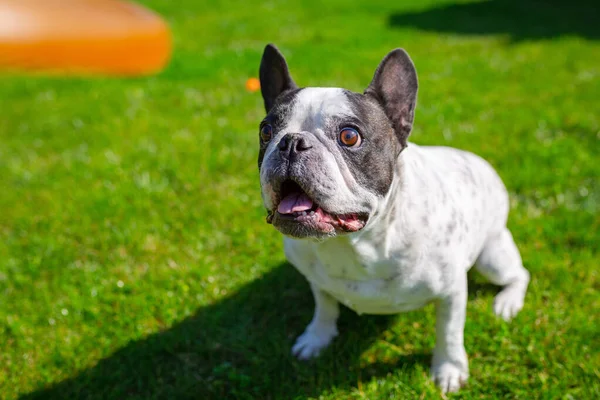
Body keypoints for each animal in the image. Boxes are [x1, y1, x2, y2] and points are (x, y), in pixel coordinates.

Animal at [255, 44, 528, 394]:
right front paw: (317, 337)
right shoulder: (317, 279)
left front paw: (449, 369)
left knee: (519, 274)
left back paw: (507, 302)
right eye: (266, 131)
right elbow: (324, 305)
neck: (355, 244)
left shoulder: (452, 292)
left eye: (349, 136)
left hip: (492, 257)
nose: (291, 142)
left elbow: (449, 332)